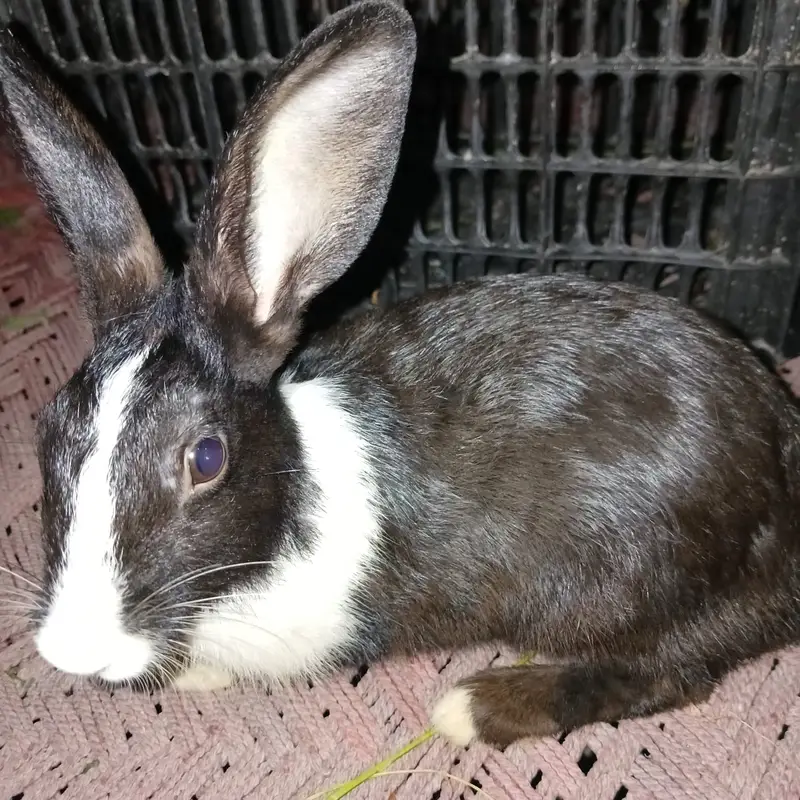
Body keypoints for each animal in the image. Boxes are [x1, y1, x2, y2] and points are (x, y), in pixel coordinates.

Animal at [1, 0, 799, 750]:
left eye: (205, 459)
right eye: (47, 428)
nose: (72, 652)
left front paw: (190, 671)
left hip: (619, 588)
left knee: (672, 674)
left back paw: (473, 708)